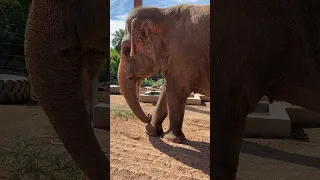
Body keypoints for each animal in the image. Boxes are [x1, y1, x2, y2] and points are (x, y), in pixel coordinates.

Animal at [117, 4, 210, 143]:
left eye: (127, 50)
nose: (148, 115)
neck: (163, 12)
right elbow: (167, 90)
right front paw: (151, 131)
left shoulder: (181, 55)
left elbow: (176, 91)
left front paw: (172, 139)